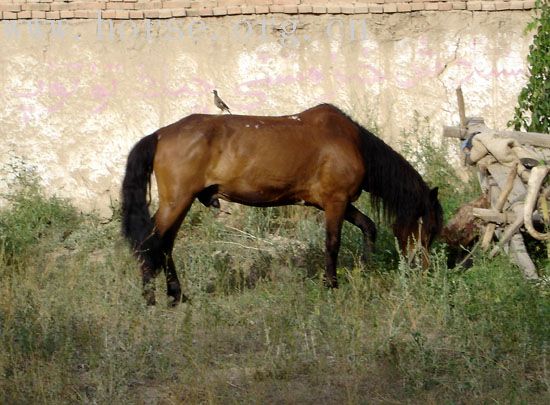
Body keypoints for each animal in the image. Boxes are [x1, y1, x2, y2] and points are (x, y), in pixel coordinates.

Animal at [122, 102, 444, 304]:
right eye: (428, 228)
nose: (424, 270)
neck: (351, 142)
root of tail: (160, 134)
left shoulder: (332, 202)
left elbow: (369, 227)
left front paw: (364, 268)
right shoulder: (336, 202)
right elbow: (333, 243)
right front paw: (331, 284)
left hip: (180, 203)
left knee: (165, 245)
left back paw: (177, 295)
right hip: (177, 201)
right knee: (152, 242)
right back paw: (152, 298)